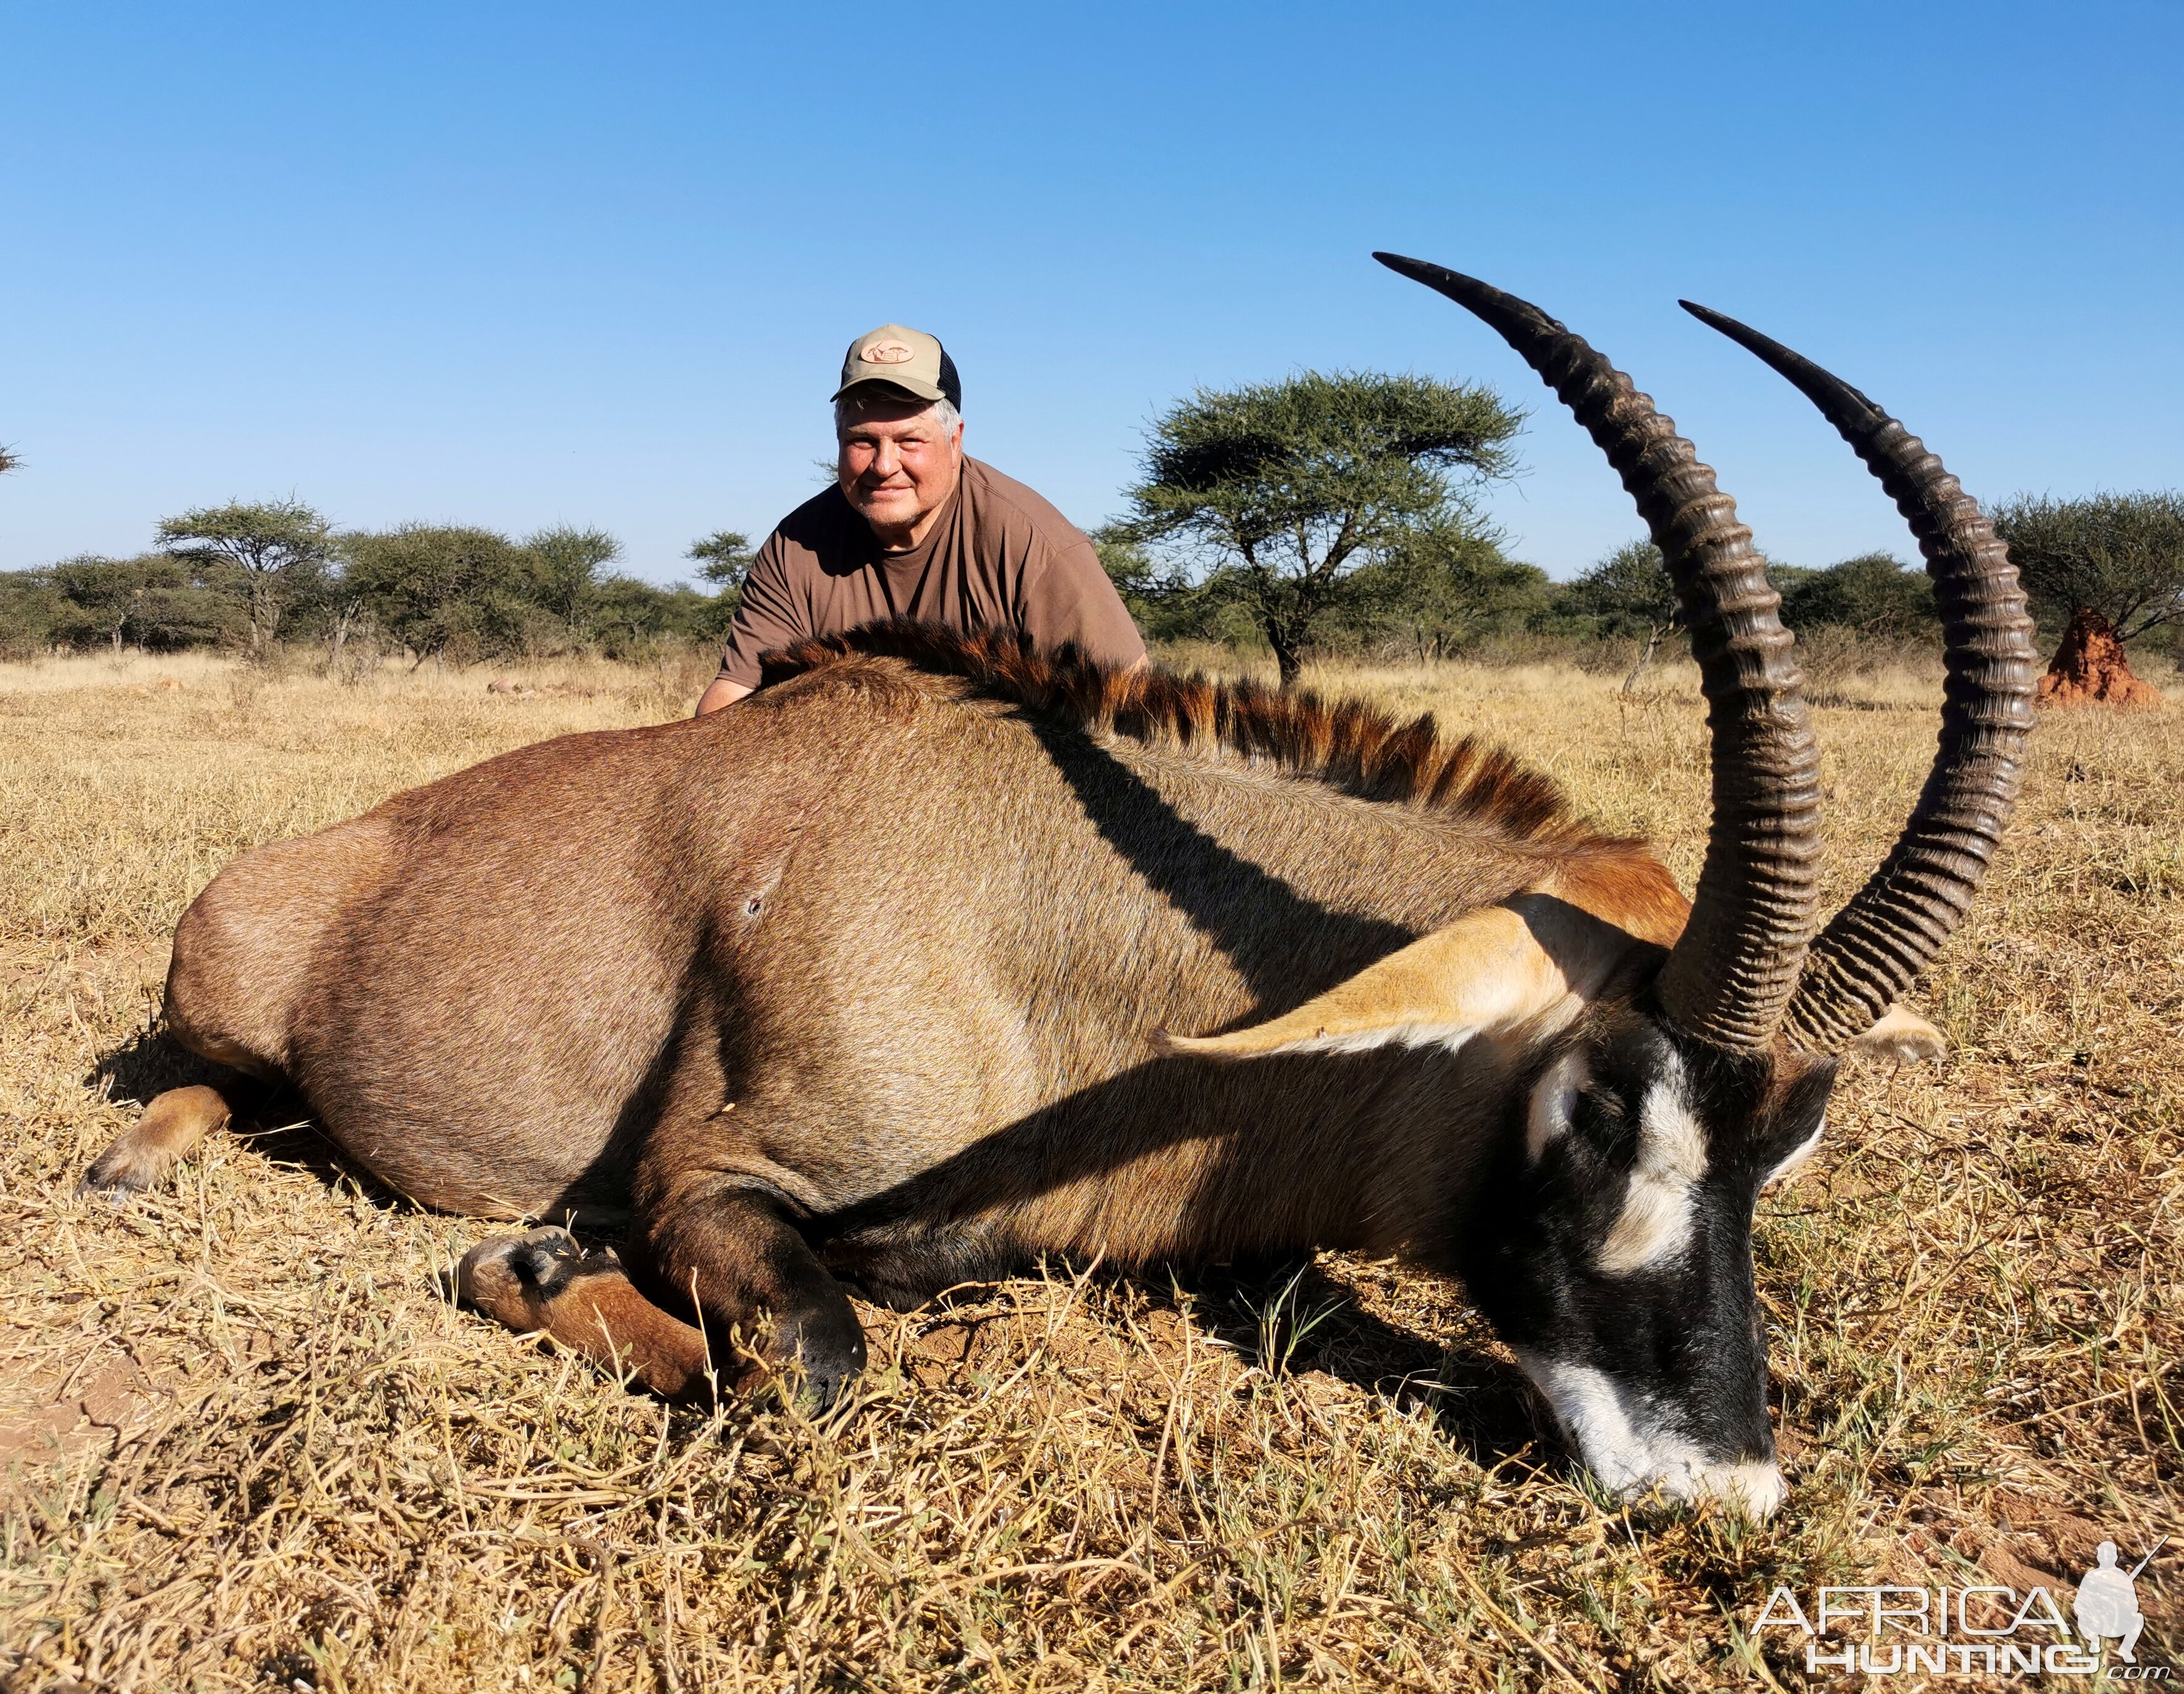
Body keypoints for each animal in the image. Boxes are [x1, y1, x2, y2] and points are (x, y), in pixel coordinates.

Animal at [80, 261, 2027, 1510]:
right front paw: (533, 1262)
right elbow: (812, 1357)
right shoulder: (710, 1177)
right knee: (200, 1077)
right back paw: (134, 1155)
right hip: (229, 1002)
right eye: (1596, 1110)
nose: (1723, 1488)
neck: (1066, 949)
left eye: (1785, 1151)